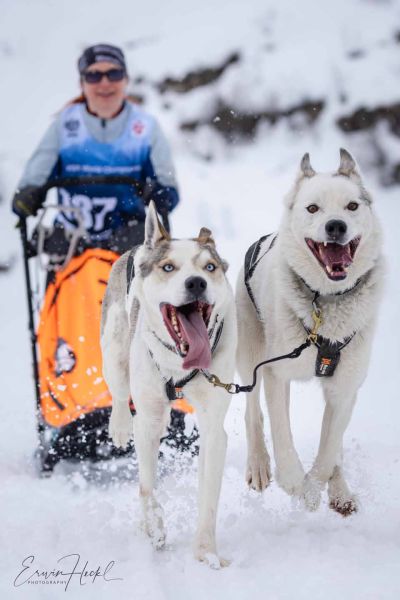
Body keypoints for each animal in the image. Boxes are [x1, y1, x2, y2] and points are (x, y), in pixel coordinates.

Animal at [101, 201, 236, 566]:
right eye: (168, 267)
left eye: (209, 267)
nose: (196, 283)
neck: (180, 364)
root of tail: (139, 246)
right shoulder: (146, 419)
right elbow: (147, 487)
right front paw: (156, 529)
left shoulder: (213, 426)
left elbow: (208, 496)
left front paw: (206, 552)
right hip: (114, 350)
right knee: (120, 393)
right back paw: (119, 425)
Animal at [236, 149, 384, 515]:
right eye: (313, 208)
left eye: (352, 206)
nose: (336, 226)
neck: (325, 303)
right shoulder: (277, 373)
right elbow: (282, 435)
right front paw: (294, 483)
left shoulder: (345, 388)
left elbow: (329, 450)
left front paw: (315, 488)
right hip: (250, 355)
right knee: (252, 412)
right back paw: (259, 464)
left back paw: (340, 489)